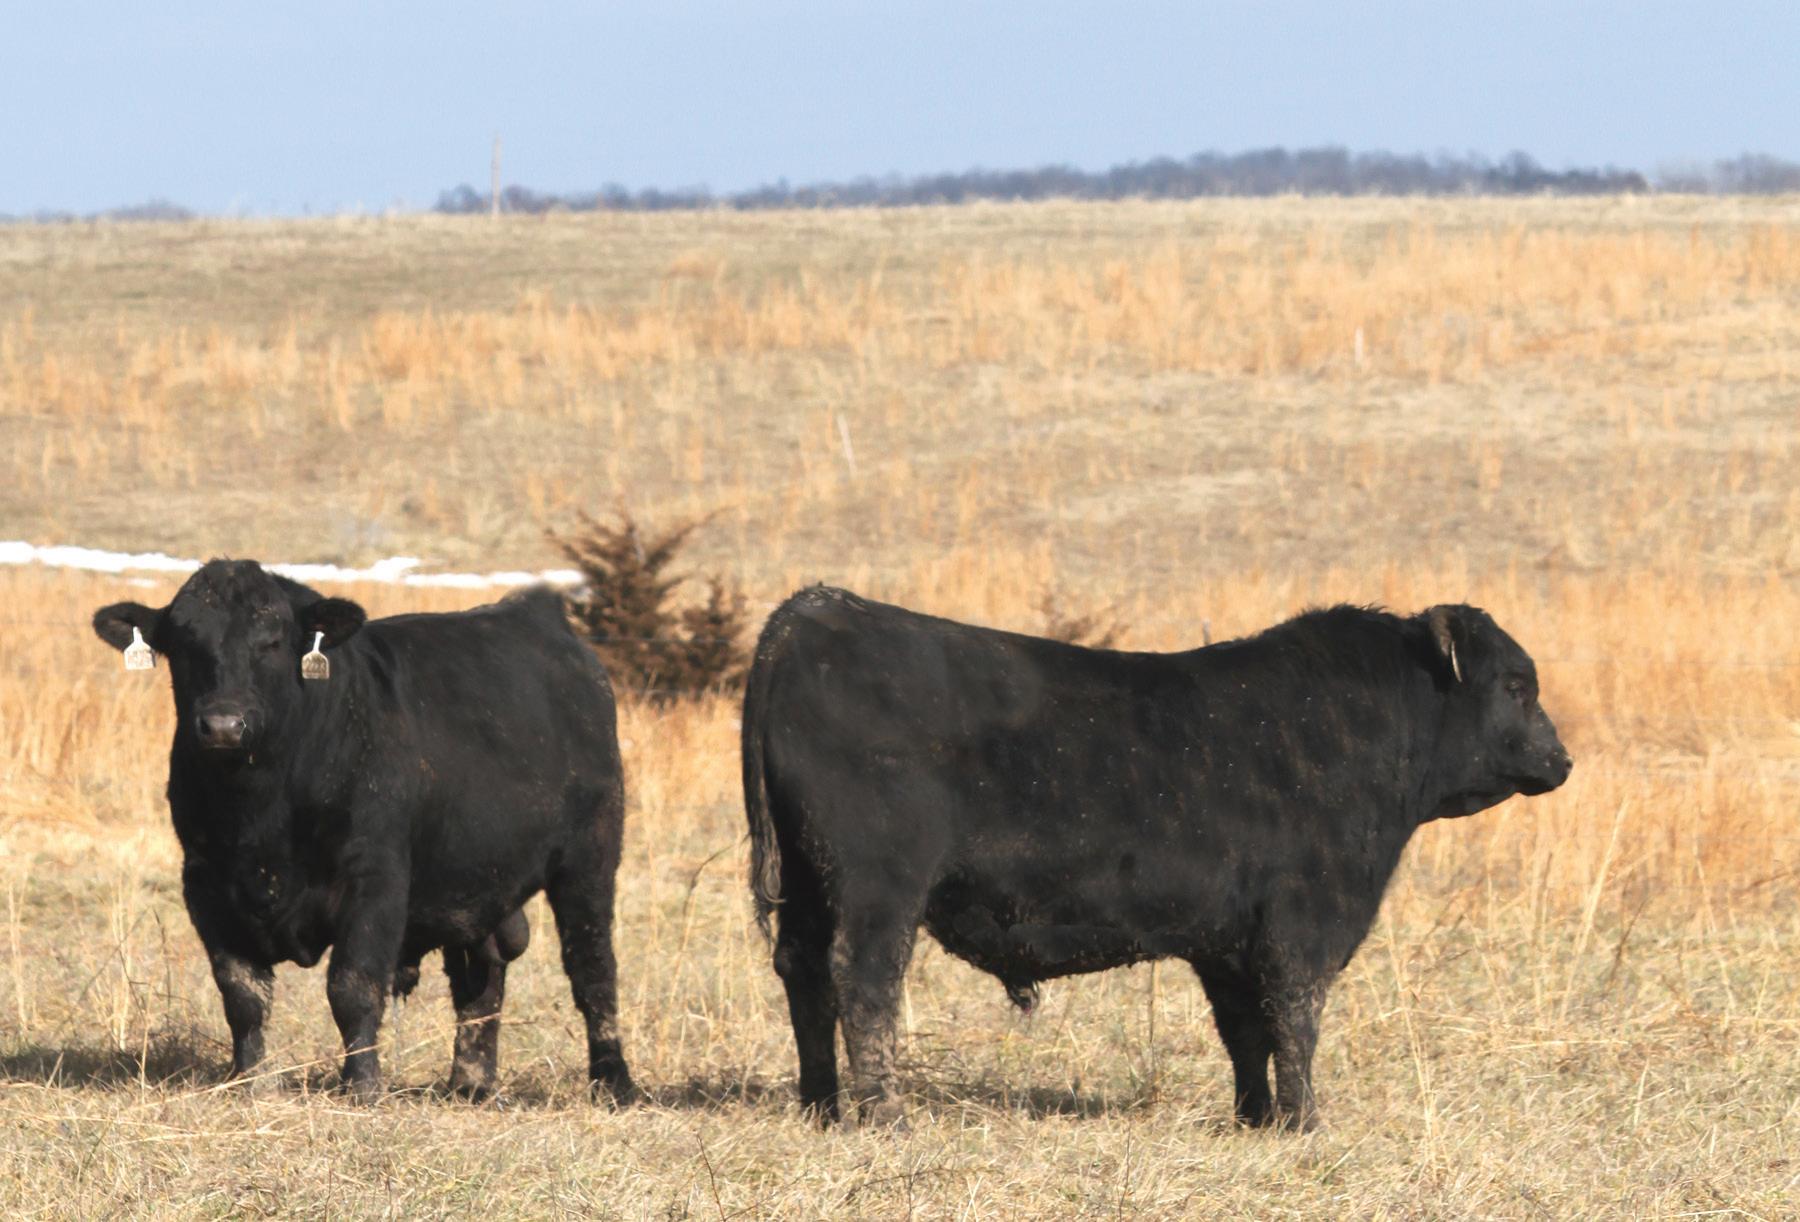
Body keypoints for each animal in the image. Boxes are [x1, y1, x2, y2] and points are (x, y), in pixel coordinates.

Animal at [93, 560, 636, 1104]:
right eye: (184, 642)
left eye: (272, 641)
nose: (224, 725)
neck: (260, 814)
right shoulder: (206, 883)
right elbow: (243, 993)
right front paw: (248, 1080)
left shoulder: (374, 880)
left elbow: (352, 985)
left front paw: (362, 1085)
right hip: (478, 878)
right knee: (480, 978)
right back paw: (470, 1083)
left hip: (590, 858)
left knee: (593, 969)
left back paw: (614, 1081)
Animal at [742, 587, 1571, 1129]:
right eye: (1516, 684)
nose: (1561, 760)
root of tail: (815, 610)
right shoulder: (1304, 926)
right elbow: (1295, 1021)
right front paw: (1305, 1123)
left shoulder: (1229, 941)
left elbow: (1246, 1032)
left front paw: (1256, 1119)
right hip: (878, 888)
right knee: (864, 981)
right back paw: (885, 1116)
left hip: (809, 887)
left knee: (804, 975)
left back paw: (821, 1107)